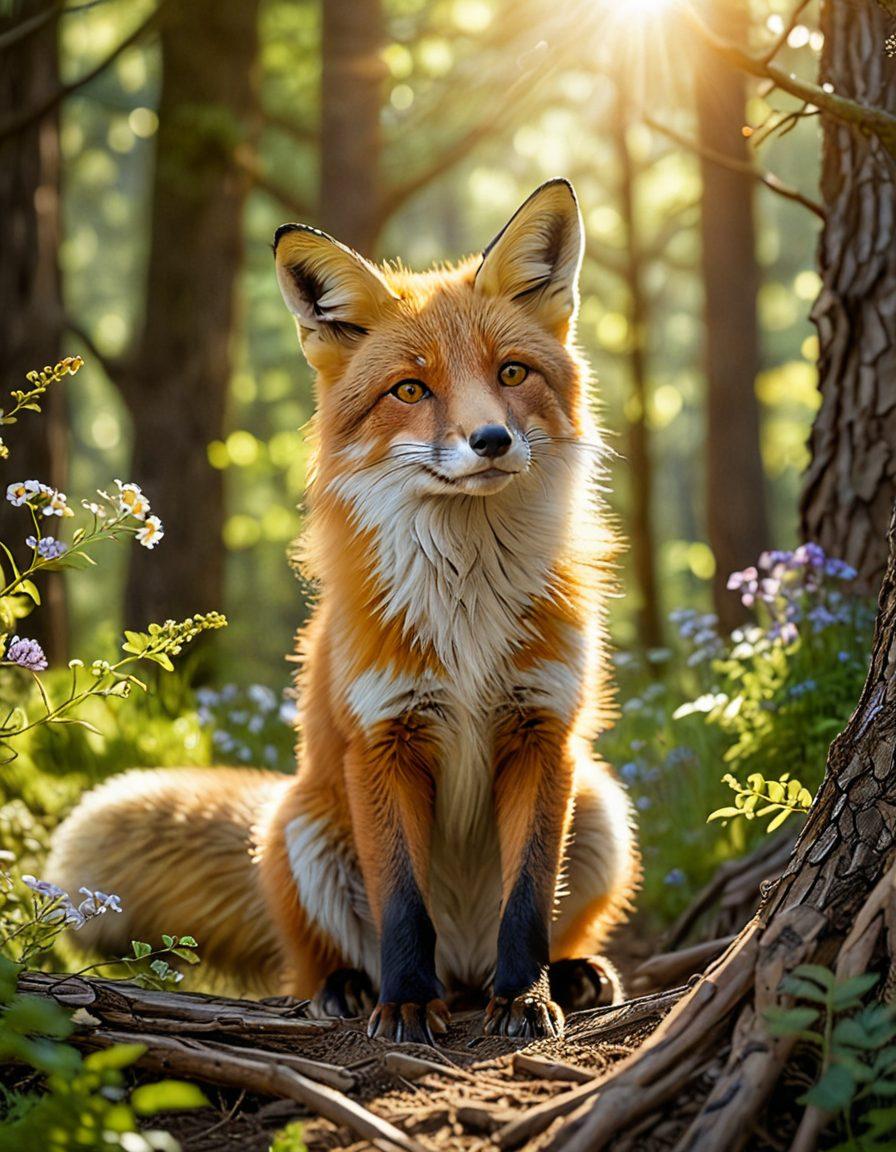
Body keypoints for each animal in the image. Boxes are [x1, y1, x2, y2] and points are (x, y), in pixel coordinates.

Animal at [48, 179, 639, 1043]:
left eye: (512, 372)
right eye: (410, 390)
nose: (492, 439)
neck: (467, 606)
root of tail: (464, 965)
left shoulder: (544, 731)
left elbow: (529, 899)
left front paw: (527, 997)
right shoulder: (381, 739)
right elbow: (401, 904)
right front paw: (405, 1004)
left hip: (599, 803)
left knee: (538, 924)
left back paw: (564, 972)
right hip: (302, 827)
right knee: (318, 957)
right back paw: (351, 988)